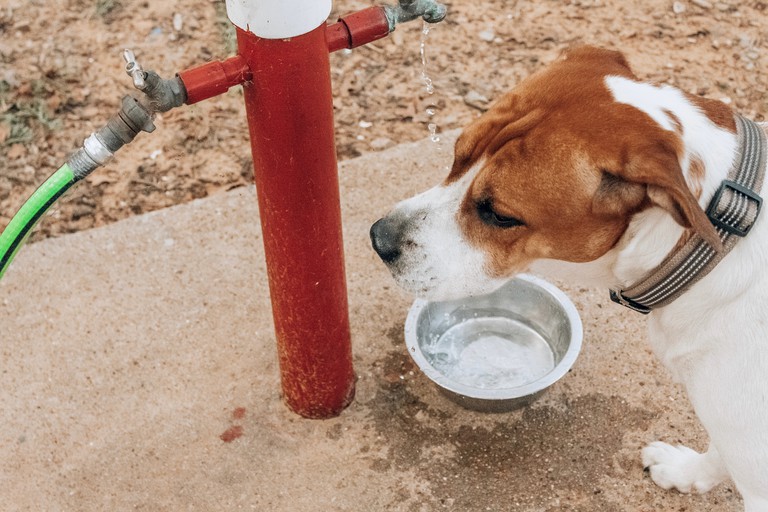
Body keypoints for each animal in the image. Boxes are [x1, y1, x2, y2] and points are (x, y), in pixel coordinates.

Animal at [368, 46, 764, 510]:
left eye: (500, 215)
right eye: (456, 156)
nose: (379, 239)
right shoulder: (735, 427)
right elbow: (720, 452)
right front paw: (686, 473)